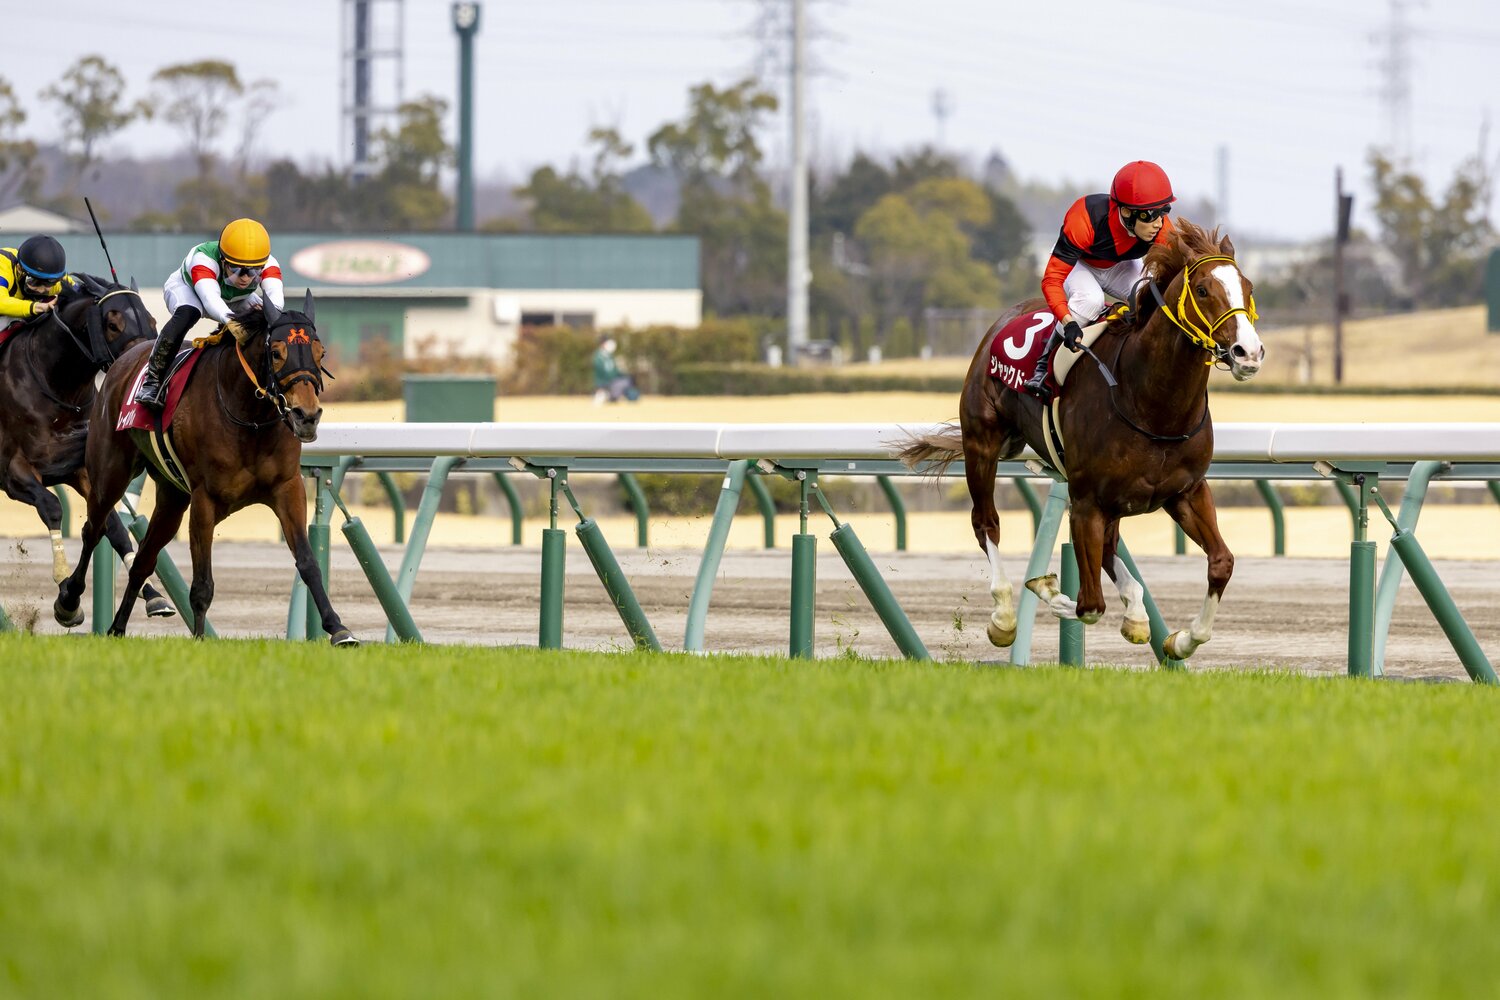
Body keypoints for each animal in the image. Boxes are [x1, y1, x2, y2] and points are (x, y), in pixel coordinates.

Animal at [0, 274, 175, 617]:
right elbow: (52, 506)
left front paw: (153, 594)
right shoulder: (13, 471)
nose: (142, 364)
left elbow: (112, 525)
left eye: (151, 320)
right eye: (113, 324)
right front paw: (65, 591)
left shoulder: (82, 468)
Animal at [54, 291, 358, 646]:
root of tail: (127, 357)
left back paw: (117, 627)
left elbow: (308, 563)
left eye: (320, 352)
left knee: (143, 559)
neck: (250, 418)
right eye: (277, 352)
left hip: (172, 498)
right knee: (93, 529)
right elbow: (202, 584)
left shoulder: (288, 488)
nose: (306, 416)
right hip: (110, 474)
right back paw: (69, 602)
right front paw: (200, 640)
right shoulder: (205, 499)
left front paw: (338, 628)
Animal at [899, 219, 1265, 662]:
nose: (1248, 353)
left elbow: (1221, 563)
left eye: (1247, 287)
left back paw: (1135, 613)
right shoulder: (1087, 500)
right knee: (986, 522)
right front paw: (1046, 587)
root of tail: (1002, 321)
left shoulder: (1187, 492)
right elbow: (1089, 604)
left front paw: (1180, 639)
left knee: (1110, 546)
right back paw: (1004, 616)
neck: (1151, 401)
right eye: (1203, 290)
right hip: (981, 444)